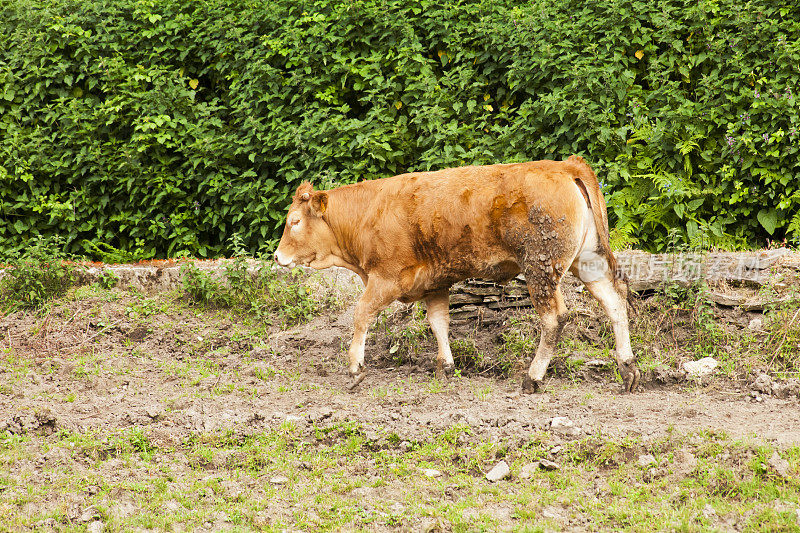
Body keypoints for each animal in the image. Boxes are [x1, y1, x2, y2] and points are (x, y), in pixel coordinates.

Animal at [278, 156, 640, 392]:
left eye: (294, 221)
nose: (277, 255)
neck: (370, 213)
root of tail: (564, 165)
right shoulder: (434, 282)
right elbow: (439, 322)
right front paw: (446, 367)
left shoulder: (386, 278)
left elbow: (361, 314)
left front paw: (355, 368)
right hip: (589, 260)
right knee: (614, 301)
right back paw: (628, 370)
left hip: (540, 267)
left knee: (554, 317)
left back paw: (533, 378)